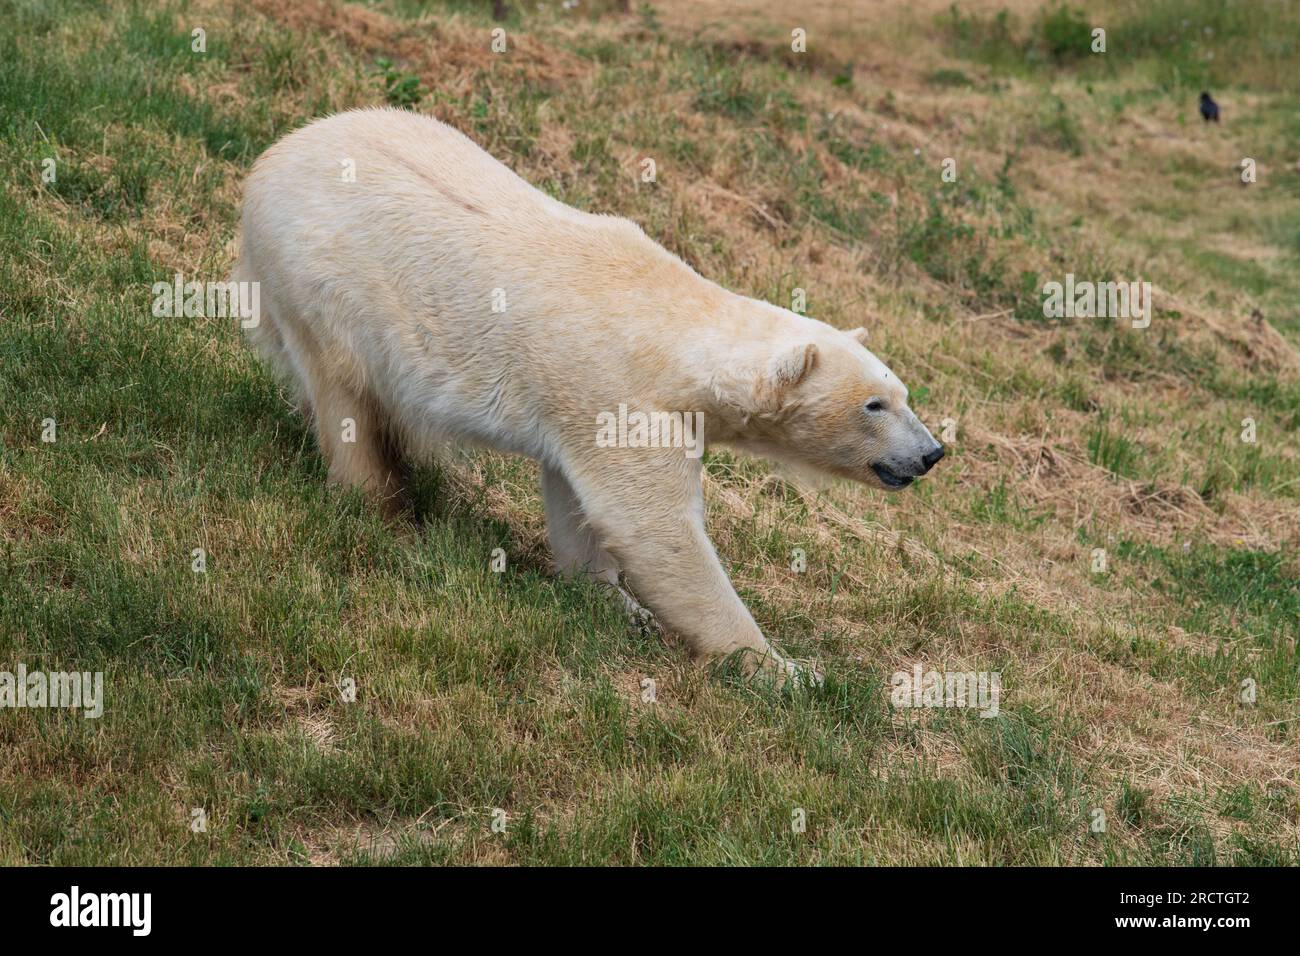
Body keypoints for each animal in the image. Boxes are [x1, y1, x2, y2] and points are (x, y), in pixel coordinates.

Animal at [236, 108, 946, 686]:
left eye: (902, 392)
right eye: (874, 405)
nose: (932, 452)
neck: (671, 328)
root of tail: (269, 162)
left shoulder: (580, 409)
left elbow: (576, 502)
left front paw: (613, 600)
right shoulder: (621, 396)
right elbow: (653, 527)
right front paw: (786, 669)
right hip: (322, 281)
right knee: (345, 398)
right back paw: (385, 506)